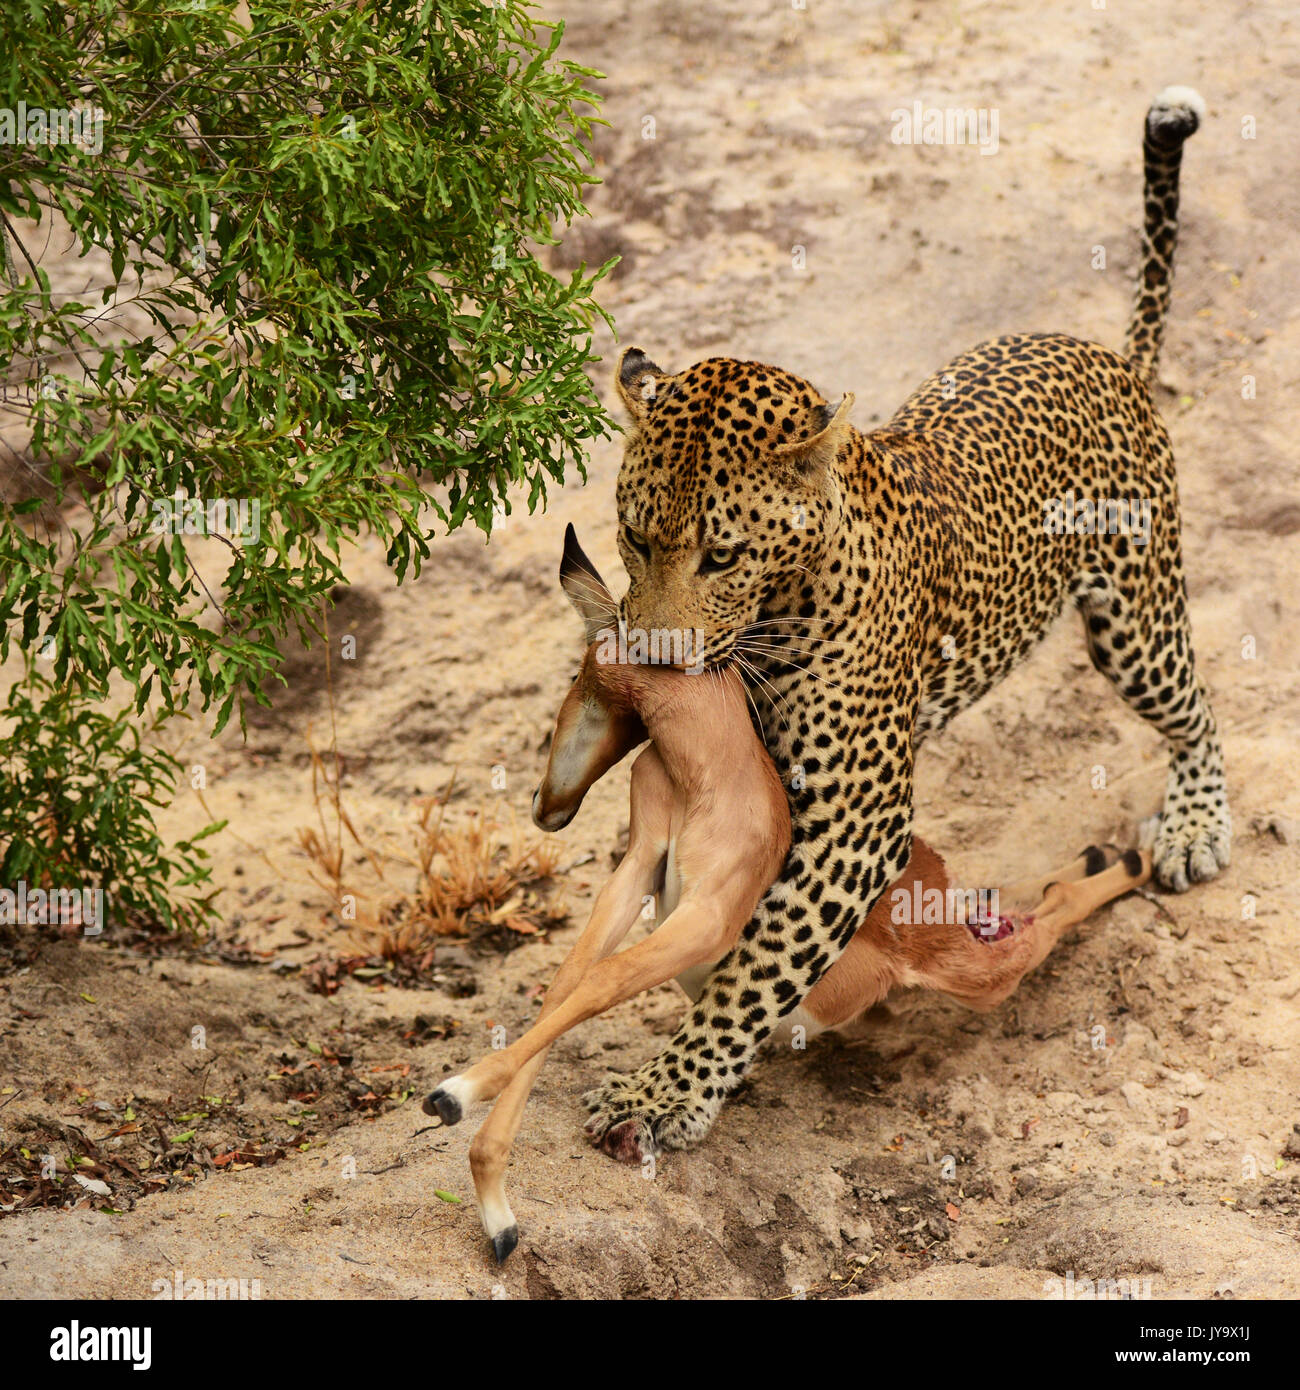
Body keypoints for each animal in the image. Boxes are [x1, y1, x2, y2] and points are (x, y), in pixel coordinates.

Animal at [578, 86, 1229, 1162]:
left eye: (722, 555)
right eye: (633, 535)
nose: (655, 660)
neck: (785, 604)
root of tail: (1105, 355)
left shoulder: (857, 820)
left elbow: (760, 962)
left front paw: (670, 1088)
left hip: (1131, 619)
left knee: (1196, 710)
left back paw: (1192, 829)